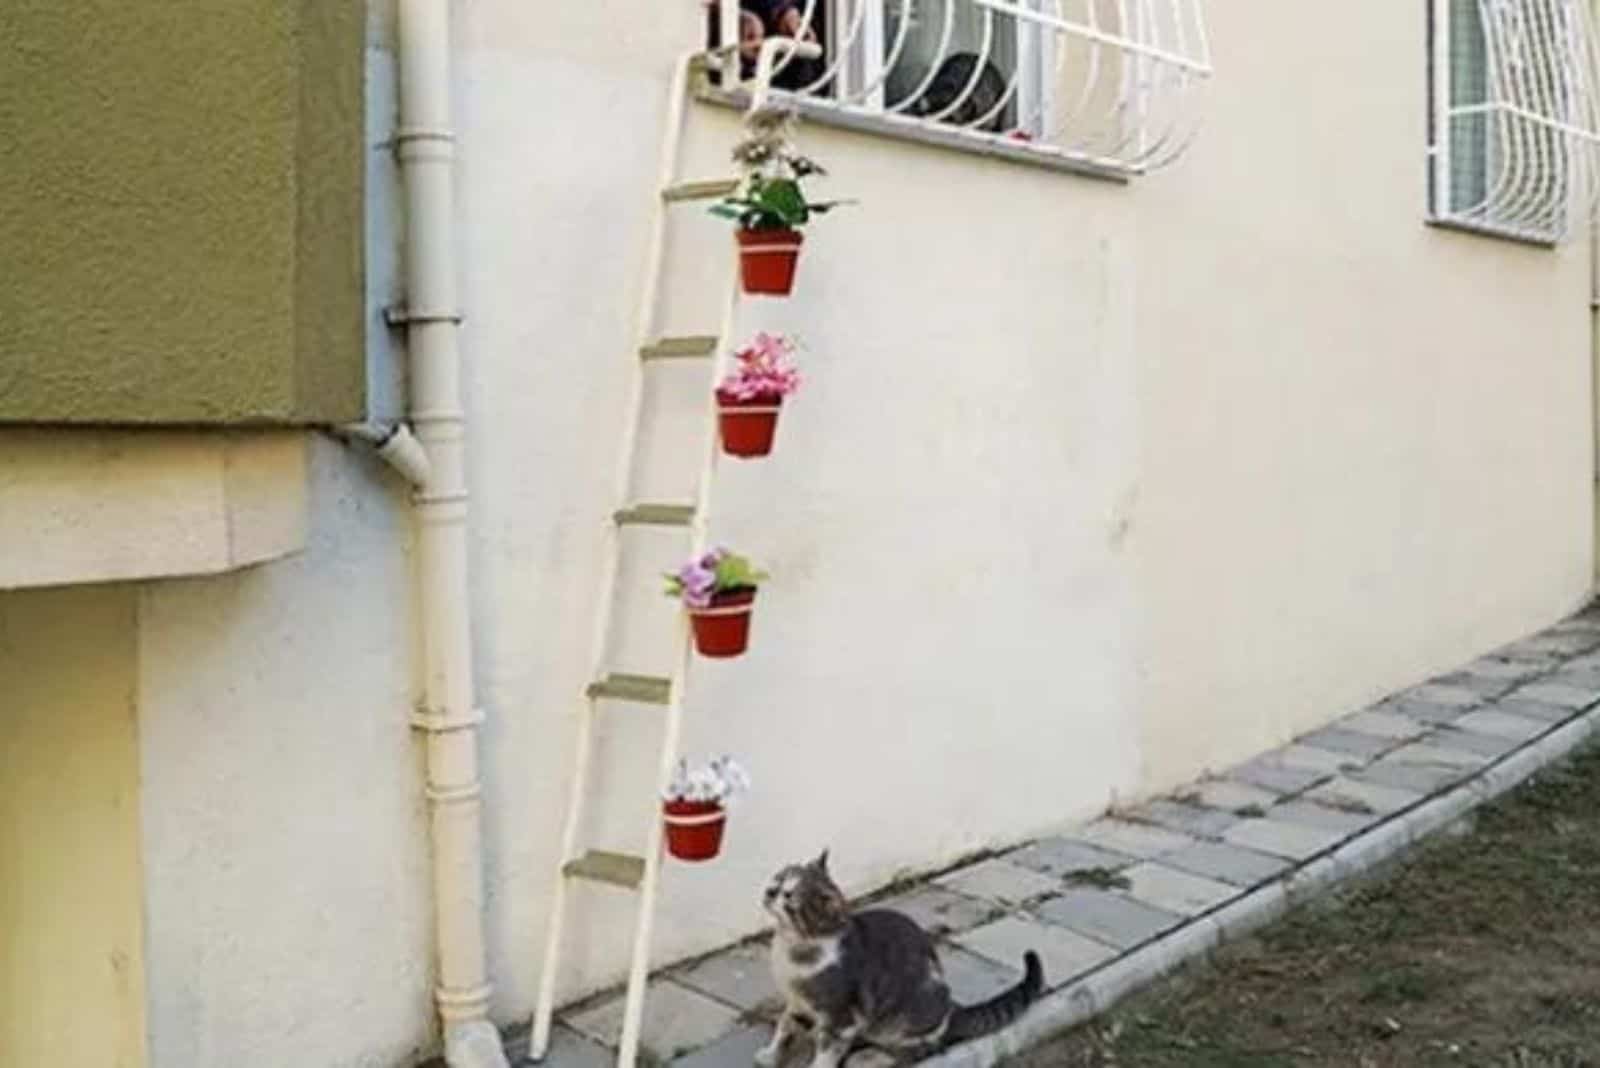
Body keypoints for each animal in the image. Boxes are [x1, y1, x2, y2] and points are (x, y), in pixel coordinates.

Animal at [755, 850, 1043, 1068]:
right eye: (779, 878)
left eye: (789, 897)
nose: (770, 891)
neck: (791, 948)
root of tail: (953, 1008)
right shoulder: (796, 1000)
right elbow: (785, 1025)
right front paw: (770, 1054)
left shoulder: (840, 1015)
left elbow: (827, 1049)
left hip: (903, 1020)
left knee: (921, 1048)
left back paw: (869, 1057)